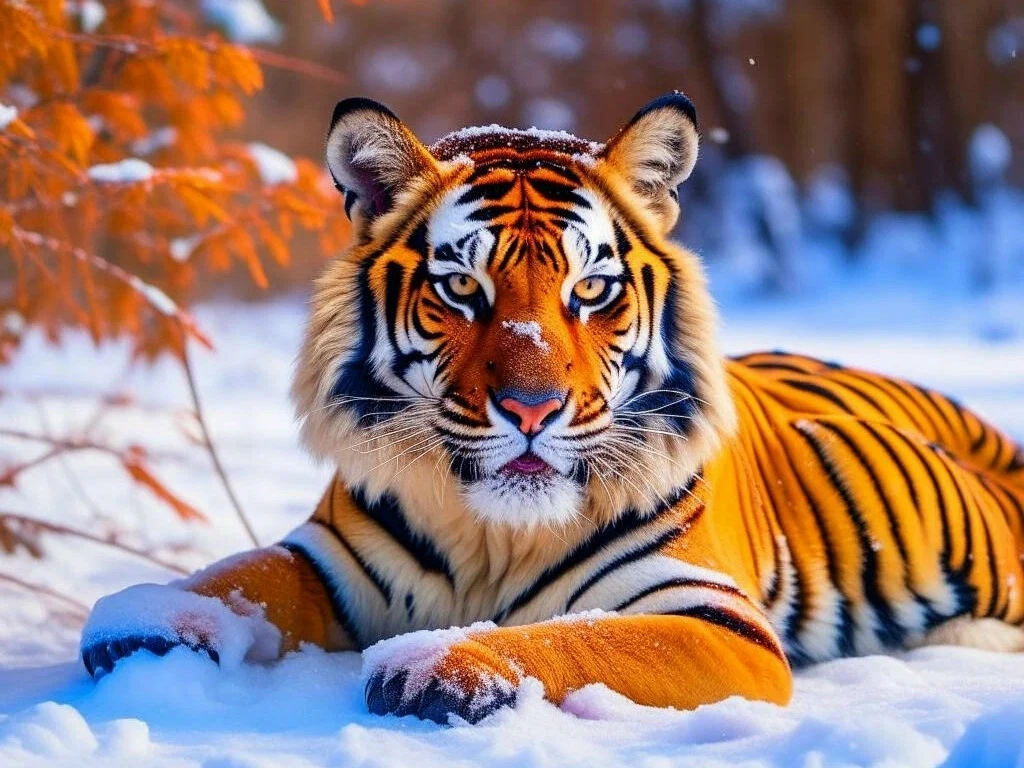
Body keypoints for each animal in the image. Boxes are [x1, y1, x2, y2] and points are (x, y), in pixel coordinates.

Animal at [80, 93, 1024, 725]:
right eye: (462, 287)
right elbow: (238, 574)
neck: (492, 533)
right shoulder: (329, 559)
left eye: (591, 289)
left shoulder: (707, 613)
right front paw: (148, 618)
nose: (531, 408)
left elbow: (578, 636)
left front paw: (440, 661)